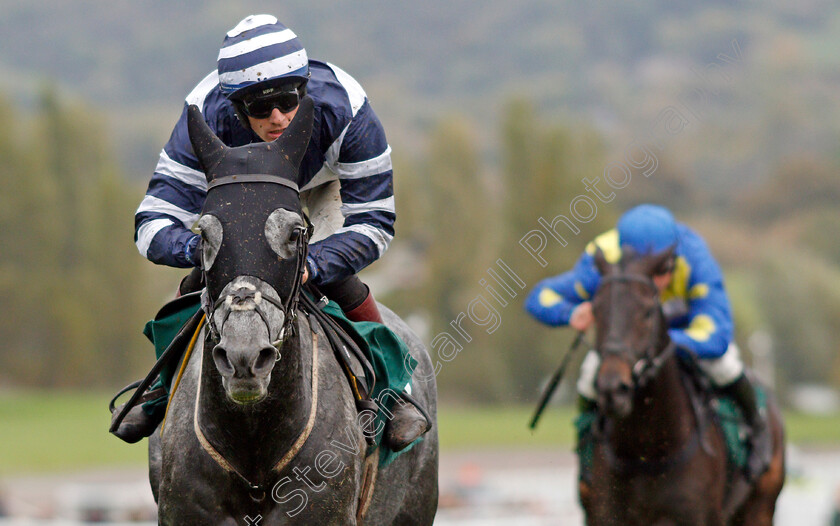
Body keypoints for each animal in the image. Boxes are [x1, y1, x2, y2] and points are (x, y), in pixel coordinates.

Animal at [580, 249, 784, 526]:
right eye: (596, 309)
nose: (613, 388)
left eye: (647, 312)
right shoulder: (605, 513)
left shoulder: (697, 516)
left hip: (760, 507)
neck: (647, 451)